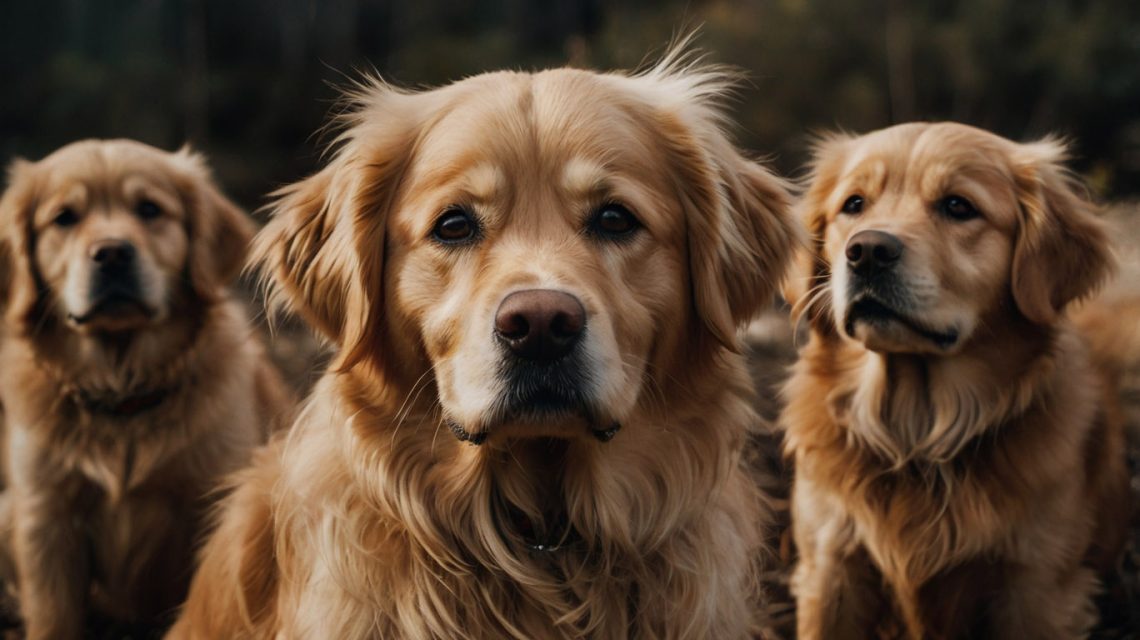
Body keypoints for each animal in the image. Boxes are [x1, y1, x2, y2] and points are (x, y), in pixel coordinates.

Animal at [0, 140, 296, 638]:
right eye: (64, 217)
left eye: (149, 209)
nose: (112, 253)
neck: (123, 396)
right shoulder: (47, 517)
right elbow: (54, 617)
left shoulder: (209, 504)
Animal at [779, 122, 1126, 634]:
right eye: (854, 204)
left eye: (958, 206)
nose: (866, 251)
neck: (916, 434)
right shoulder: (831, 568)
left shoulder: (1037, 587)